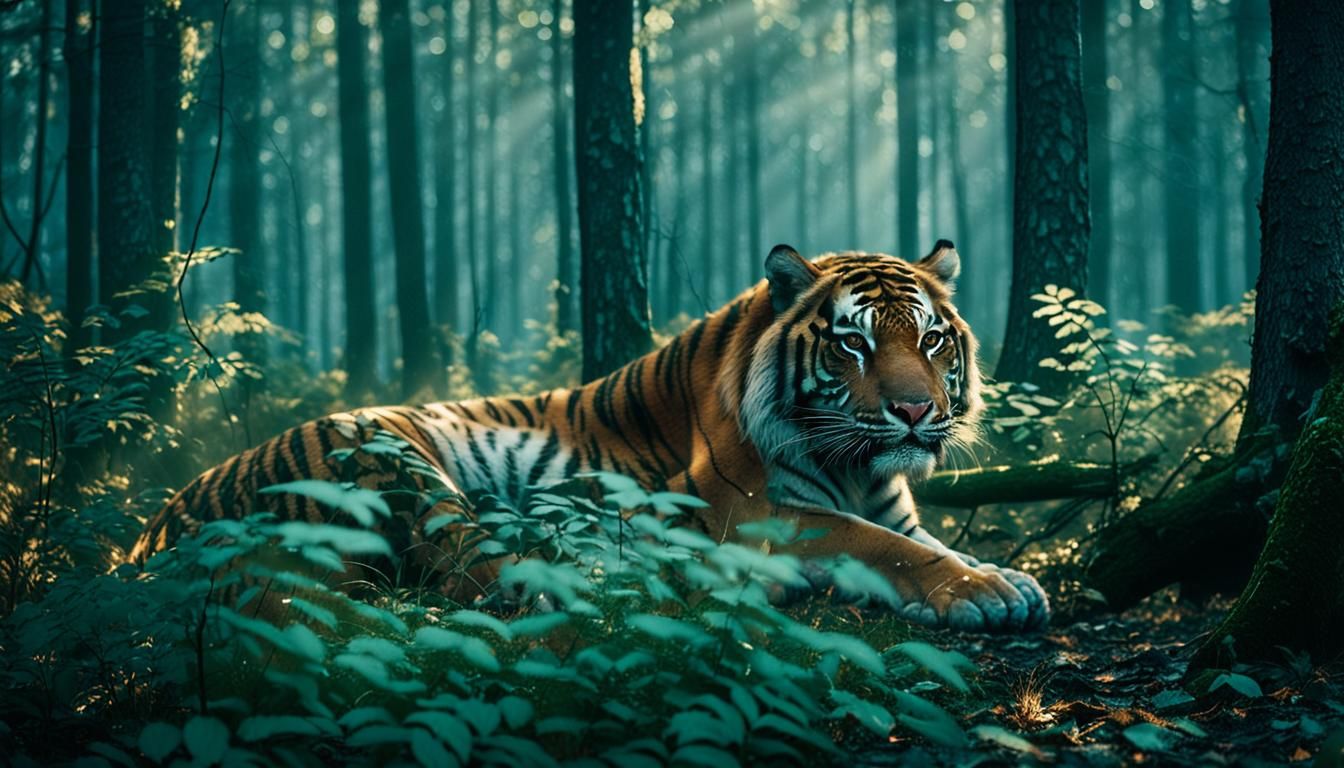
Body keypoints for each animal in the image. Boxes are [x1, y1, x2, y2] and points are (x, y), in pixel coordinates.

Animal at [131, 241, 1049, 632]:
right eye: (853, 342)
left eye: (931, 340)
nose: (915, 413)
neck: (861, 470)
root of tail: (153, 530)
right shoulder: (749, 515)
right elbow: (878, 545)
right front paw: (984, 593)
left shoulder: (892, 508)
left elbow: (931, 542)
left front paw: (1007, 576)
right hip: (391, 450)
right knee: (480, 581)